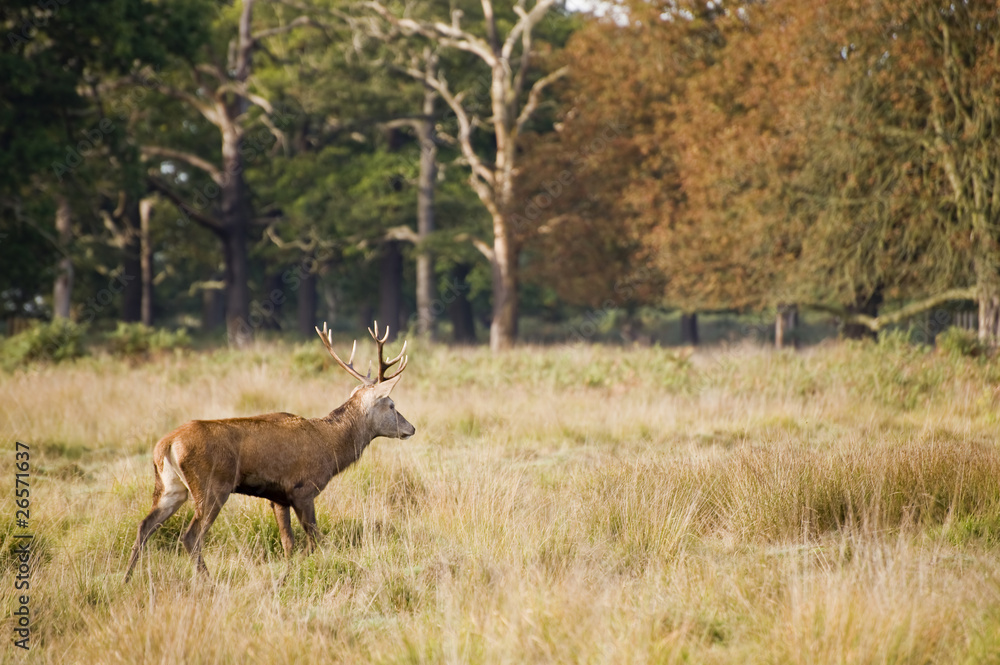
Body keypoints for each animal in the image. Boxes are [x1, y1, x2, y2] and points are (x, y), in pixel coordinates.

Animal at [123, 321, 415, 582]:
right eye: (391, 404)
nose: (411, 428)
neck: (331, 448)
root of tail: (167, 444)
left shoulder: (278, 497)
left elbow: (289, 544)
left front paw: (287, 575)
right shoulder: (303, 490)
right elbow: (315, 540)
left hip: (171, 487)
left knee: (144, 526)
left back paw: (126, 578)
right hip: (212, 486)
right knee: (191, 536)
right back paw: (208, 582)